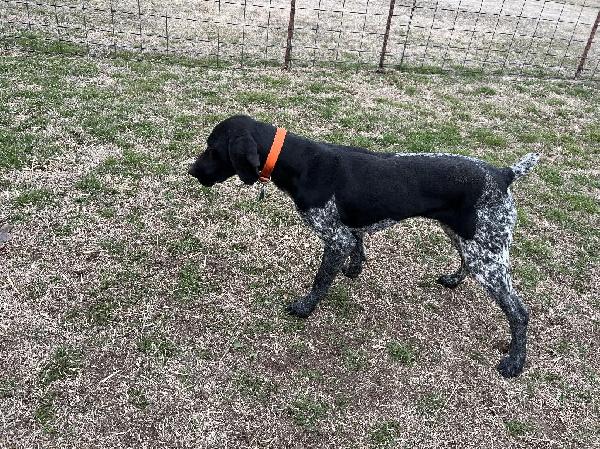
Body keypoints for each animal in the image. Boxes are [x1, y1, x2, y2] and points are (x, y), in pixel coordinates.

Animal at [189, 114, 540, 376]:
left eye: (212, 149)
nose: (192, 171)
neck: (299, 161)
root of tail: (504, 174)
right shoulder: (346, 231)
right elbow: (357, 247)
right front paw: (354, 270)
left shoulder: (334, 236)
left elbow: (320, 280)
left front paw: (305, 308)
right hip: (467, 238)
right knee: (467, 263)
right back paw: (454, 279)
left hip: (486, 254)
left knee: (519, 313)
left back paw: (515, 362)